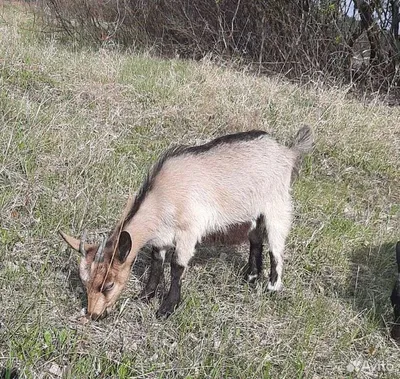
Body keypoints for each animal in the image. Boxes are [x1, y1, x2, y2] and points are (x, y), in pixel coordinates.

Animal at [61, 127, 314, 320]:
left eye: (109, 285)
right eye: (85, 282)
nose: (94, 314)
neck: (162, 196)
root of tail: (287, 152)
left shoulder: (188, 231)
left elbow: (177, 267)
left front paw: (167, 308)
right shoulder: (161, 236)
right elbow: (156, 263)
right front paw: (145, 296)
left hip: (277, 204)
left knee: (276, 246)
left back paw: (272, 287)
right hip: (252, 211)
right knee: (255, 239)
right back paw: (250, 277)